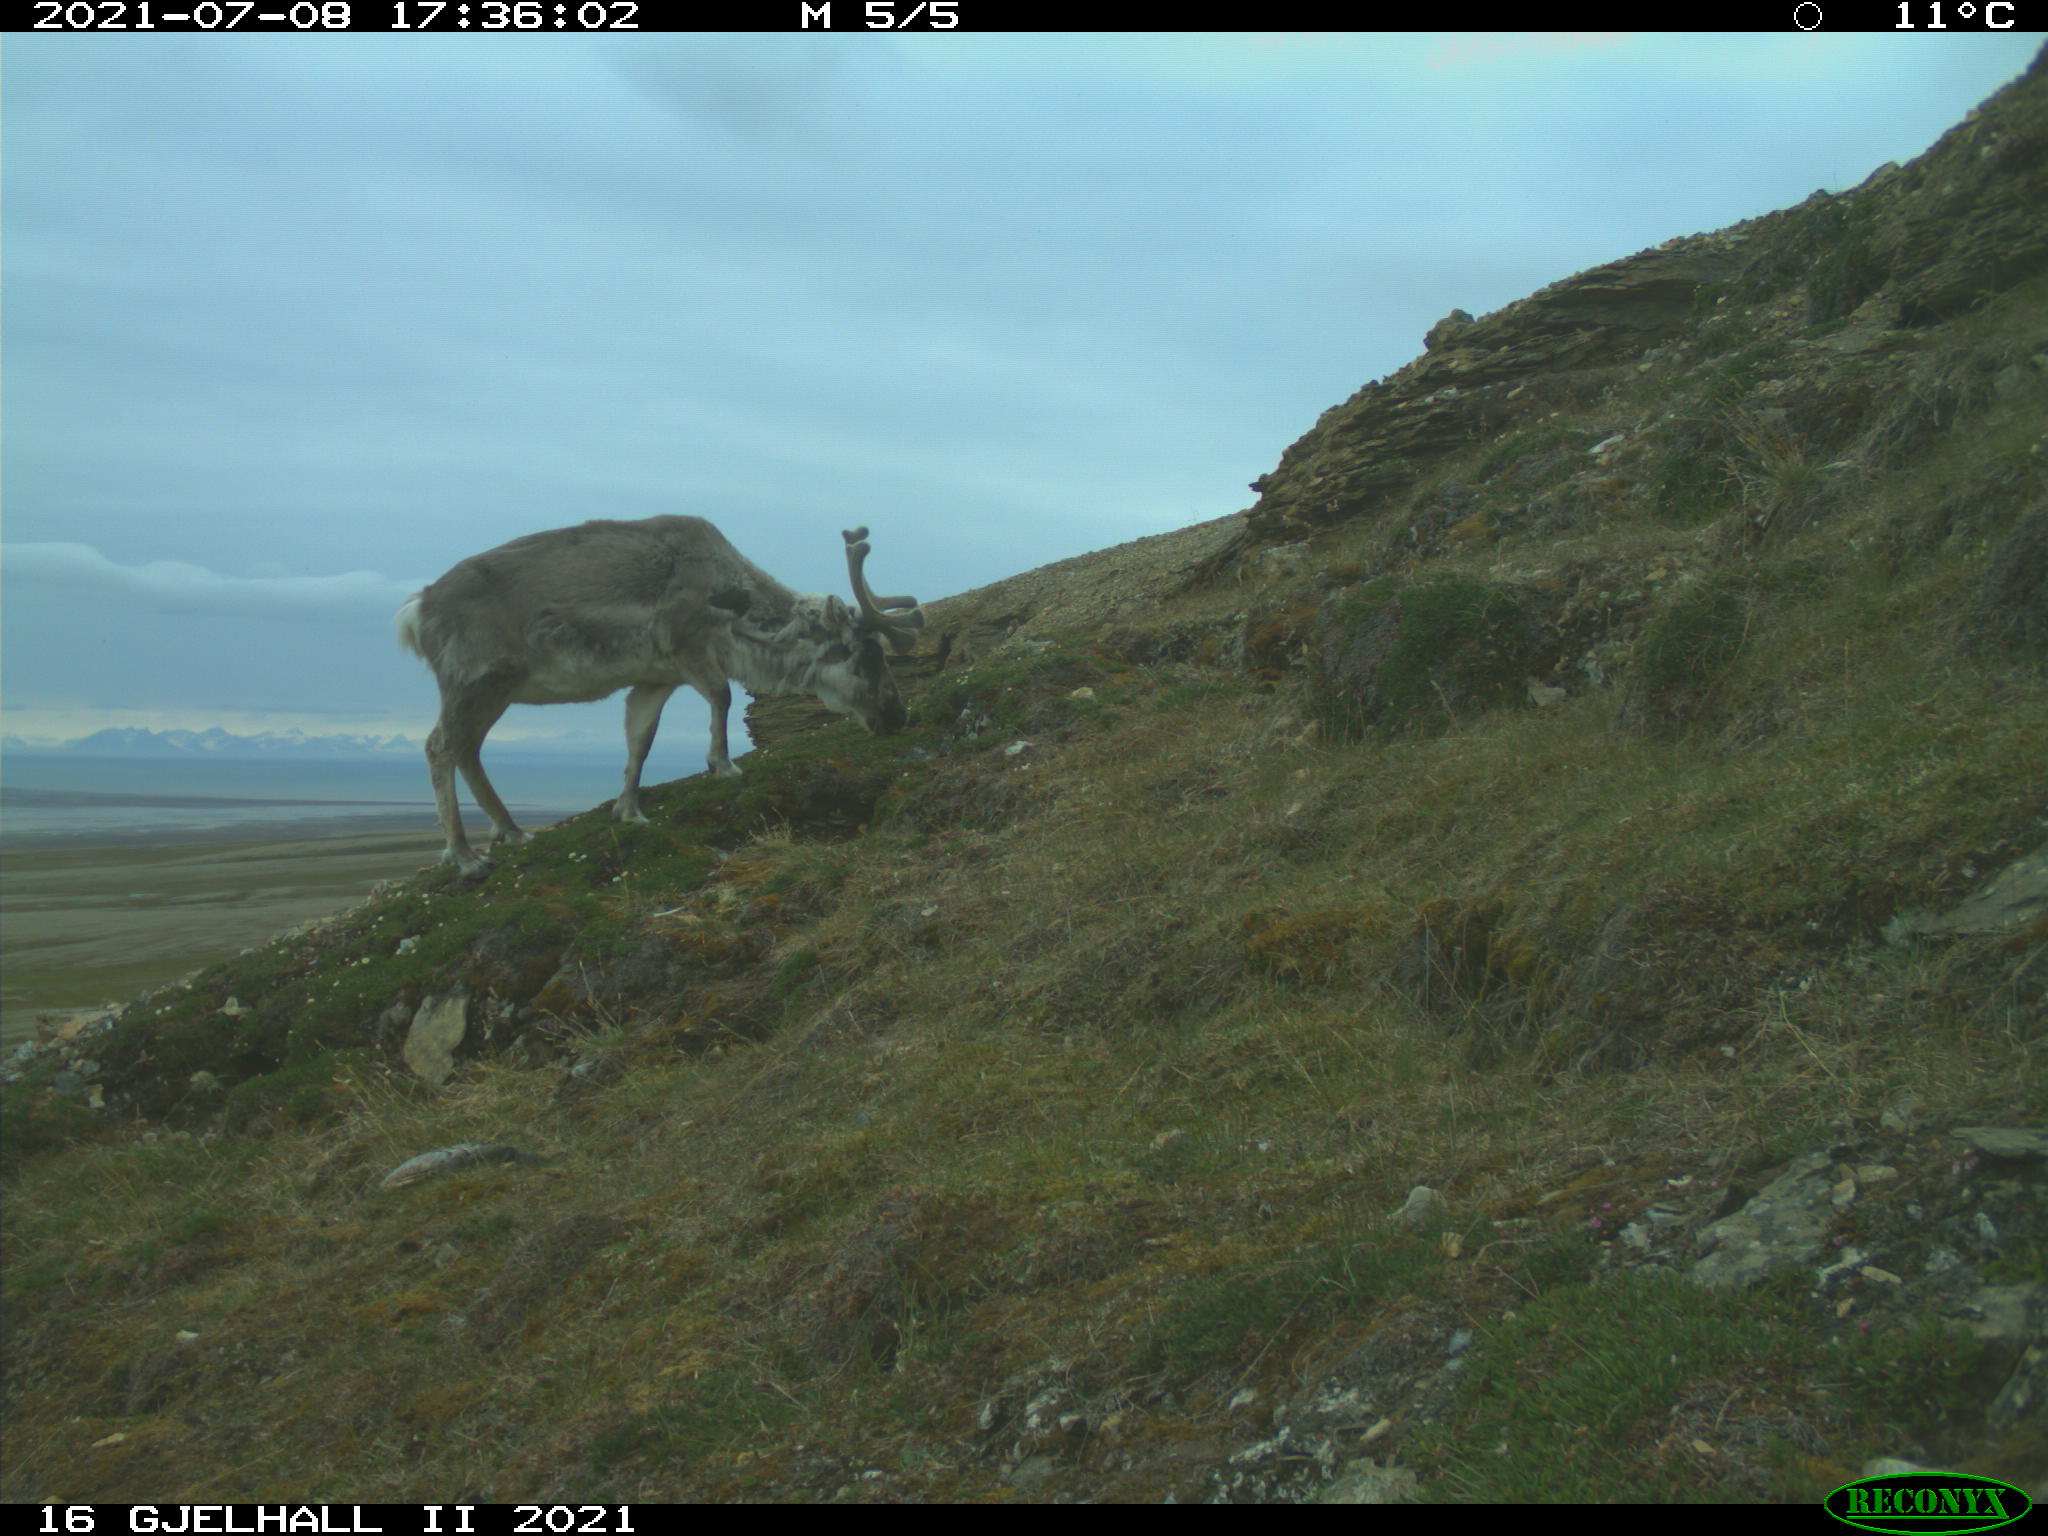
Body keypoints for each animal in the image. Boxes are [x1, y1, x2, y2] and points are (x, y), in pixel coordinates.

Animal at [396, 516, 923, 877]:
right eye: (866, 653)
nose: (897, 715)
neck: (736, 612)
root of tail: (417, 610)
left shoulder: (656, 677)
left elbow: (640, 738)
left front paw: (629, 809)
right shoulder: (688, 646)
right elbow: (721, 697)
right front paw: (723, 765)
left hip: (497, 689)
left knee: (468, 748)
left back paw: (512, 830)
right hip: (473, 678)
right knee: (439, 746)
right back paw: (464, 855)